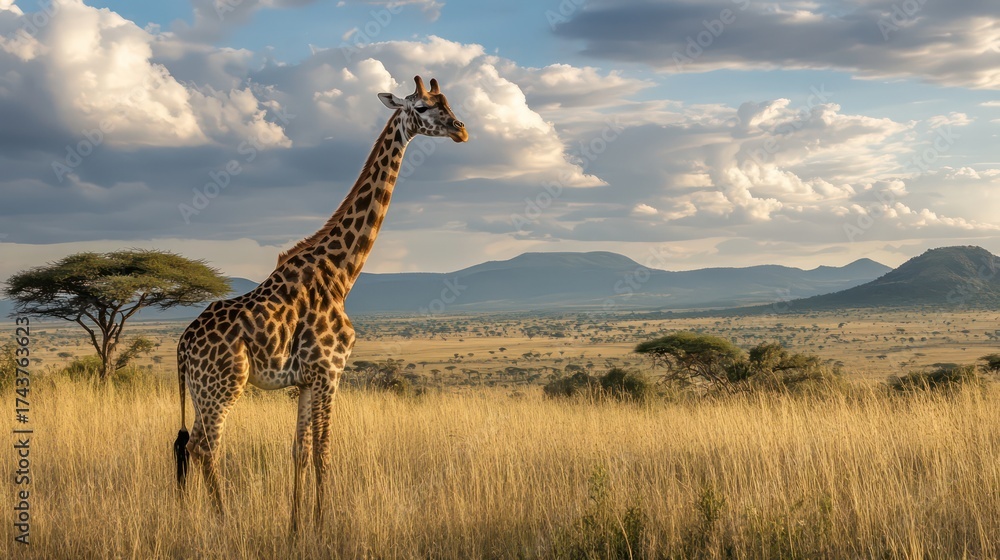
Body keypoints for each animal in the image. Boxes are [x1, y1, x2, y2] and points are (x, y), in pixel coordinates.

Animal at [172, 76, 468, 532]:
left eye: (447, 102)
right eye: (421, 106)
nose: (460, 130)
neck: (342, 272)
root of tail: (183, 347)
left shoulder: (307, 380)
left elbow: (299, 451)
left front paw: (297, 526)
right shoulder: (331, 372)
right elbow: (324, 451)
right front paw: (325, 524)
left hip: (201, 391)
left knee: (187, 445)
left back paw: (191, 517)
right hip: (222, 385)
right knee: (206, 446)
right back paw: (224, 519)